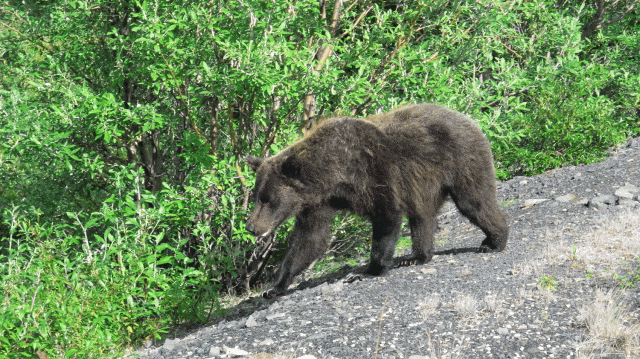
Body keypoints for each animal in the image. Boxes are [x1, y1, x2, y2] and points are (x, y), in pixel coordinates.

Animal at [246, 103, 510, 298]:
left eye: (267, 199)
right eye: (257, 196)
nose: (251, 227)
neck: (333, 176)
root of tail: (468, 119)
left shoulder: (377, 175)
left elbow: (387, 218)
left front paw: (370, 270)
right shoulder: (317, 203)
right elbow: (309, 239)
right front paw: (275, 287)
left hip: (462, 159)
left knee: (474, 201)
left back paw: (494, 240)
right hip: (425, 184)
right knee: (422, 215)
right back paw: (417, 257)